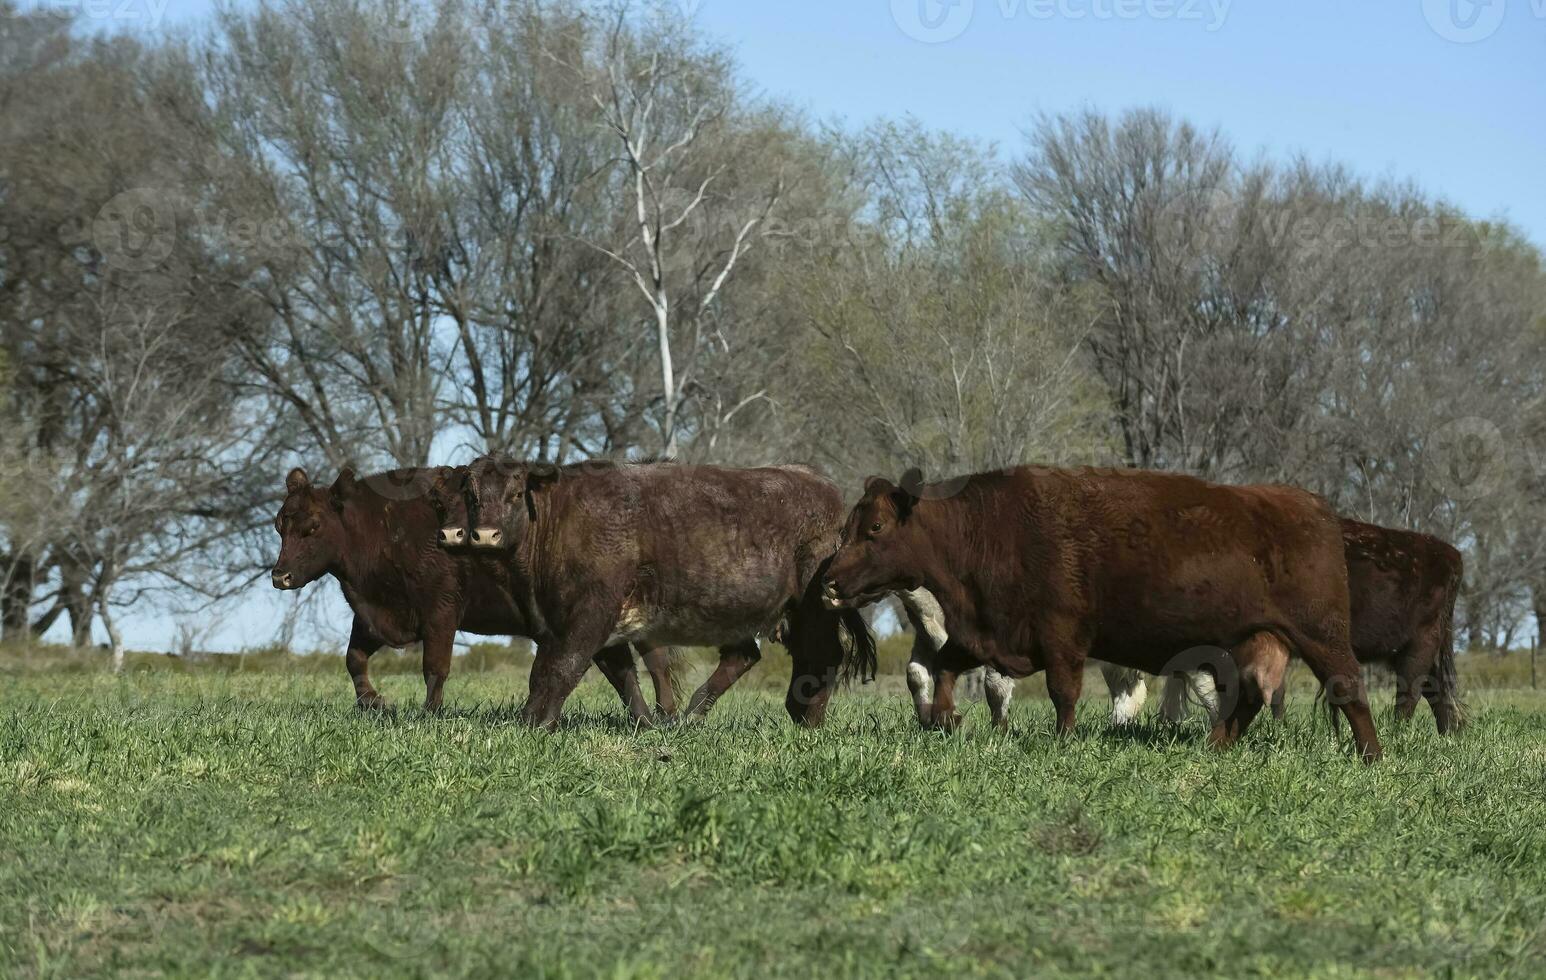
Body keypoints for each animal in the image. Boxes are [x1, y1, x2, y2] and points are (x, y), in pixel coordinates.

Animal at [272, 460, 658, 714]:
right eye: (280, 525)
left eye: (313, 527)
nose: (279, 576)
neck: (383, 528)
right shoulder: (375, 616)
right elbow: (354, 658)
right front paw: (374, 703)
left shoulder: (440, 611)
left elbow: (435, 668)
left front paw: (429, 714)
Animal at [442, 457, 878, 726]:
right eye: (472, 495)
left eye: (516, 493)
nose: (484, 535)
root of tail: (818, 483)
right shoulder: (578, 624)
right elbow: (616, 676)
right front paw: (647, 723)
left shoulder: (590, 615)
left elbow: (561, 669)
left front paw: (537, 723)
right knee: (746, 656)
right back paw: (693, 715)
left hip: (813, 610)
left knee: (822, 656)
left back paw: (808, 717)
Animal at [828, 469, 1385, 760]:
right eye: (850, 525)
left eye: (875, 527)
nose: (830, 581)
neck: (988, 530)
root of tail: (1312, 505)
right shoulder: (986, 636)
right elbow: (942, 669)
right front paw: (945, 719)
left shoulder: (1061, 638)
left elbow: (1063, 693)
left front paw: (1062, 741)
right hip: (1251, 641)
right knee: (1245, 698)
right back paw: (1215, 746)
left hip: (1320, 635)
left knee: (1348, 688)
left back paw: (1370, 756)